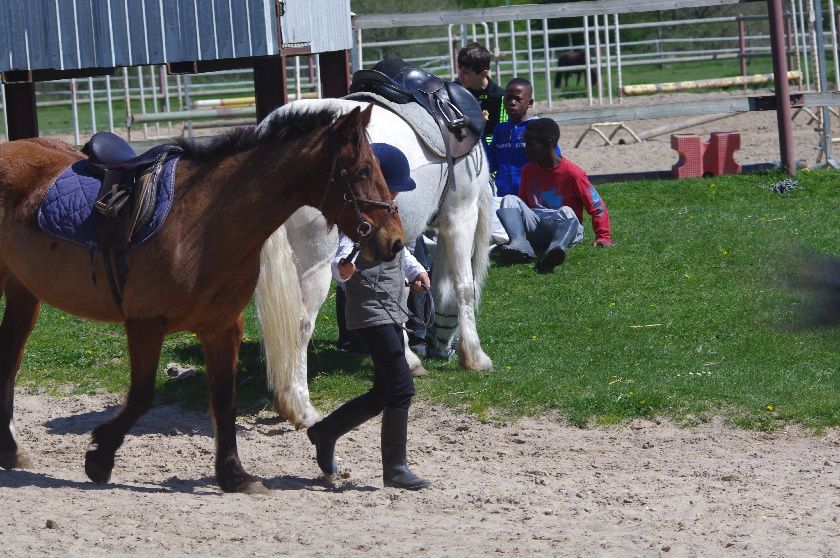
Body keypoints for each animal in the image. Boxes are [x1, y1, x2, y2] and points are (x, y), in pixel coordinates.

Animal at [0, 104, 404, 494]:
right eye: (364, 169)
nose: (395, 241)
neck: (203, 224)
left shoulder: (222, 328)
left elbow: (224, 399)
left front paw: (234, 474)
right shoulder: (145, 324)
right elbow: (142, 396)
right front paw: (100, 456)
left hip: (23, 293)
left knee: (10, 362)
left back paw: (11, 449)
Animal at [254, 99, 492, 428]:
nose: (442, 350)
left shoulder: (397, 238)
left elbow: (398, 293)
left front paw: (407, 357)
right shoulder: (460, 215)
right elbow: (463, 288)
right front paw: (475, 356)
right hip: (315, 266)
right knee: (300, 325)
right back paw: (299, 406)